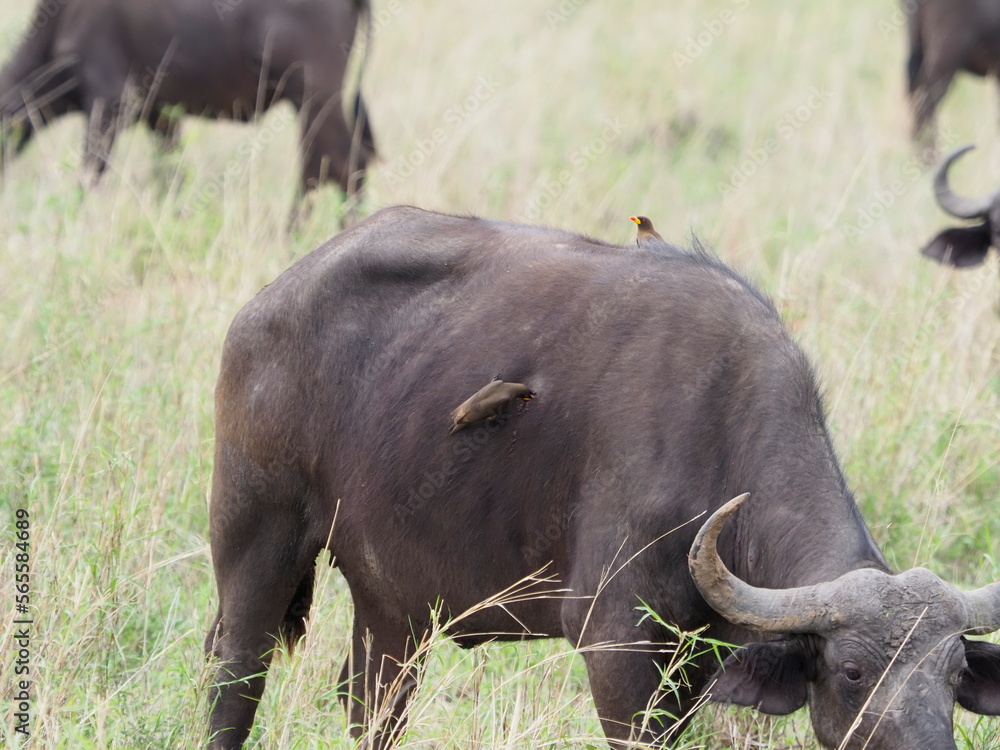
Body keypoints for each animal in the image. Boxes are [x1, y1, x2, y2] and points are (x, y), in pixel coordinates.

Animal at [0, 0, 376, 199]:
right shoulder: (159, 114)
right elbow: (172, 175)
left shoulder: (109, 102)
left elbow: (90, 175)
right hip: (311, 106)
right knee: (320, 165)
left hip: (314, 96)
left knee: (344, 164)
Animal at [205, 206, 1000, 749]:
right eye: (854, 671)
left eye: (953, 672)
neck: (718, 433)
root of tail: (267, 303)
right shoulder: (617, 654)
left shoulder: (695, 666)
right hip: (256, 547)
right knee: (233, 680)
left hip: (392, 609)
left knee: (373, 706)